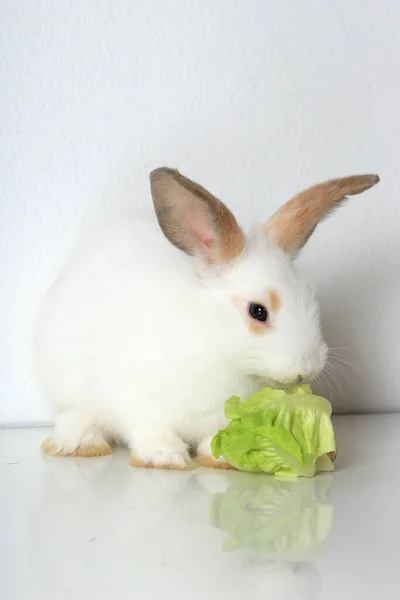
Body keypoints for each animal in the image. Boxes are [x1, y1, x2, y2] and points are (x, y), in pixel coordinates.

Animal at [36, 168, 380, 468]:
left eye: (312, 299)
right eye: (258, 311)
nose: (306, 370)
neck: (215, 350)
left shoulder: (221, 418)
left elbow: (214, 438)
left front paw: (221, 458)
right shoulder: (137, 398)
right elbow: (150, 429)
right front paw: (166, 459)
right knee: (77, 415)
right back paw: (81, 443)